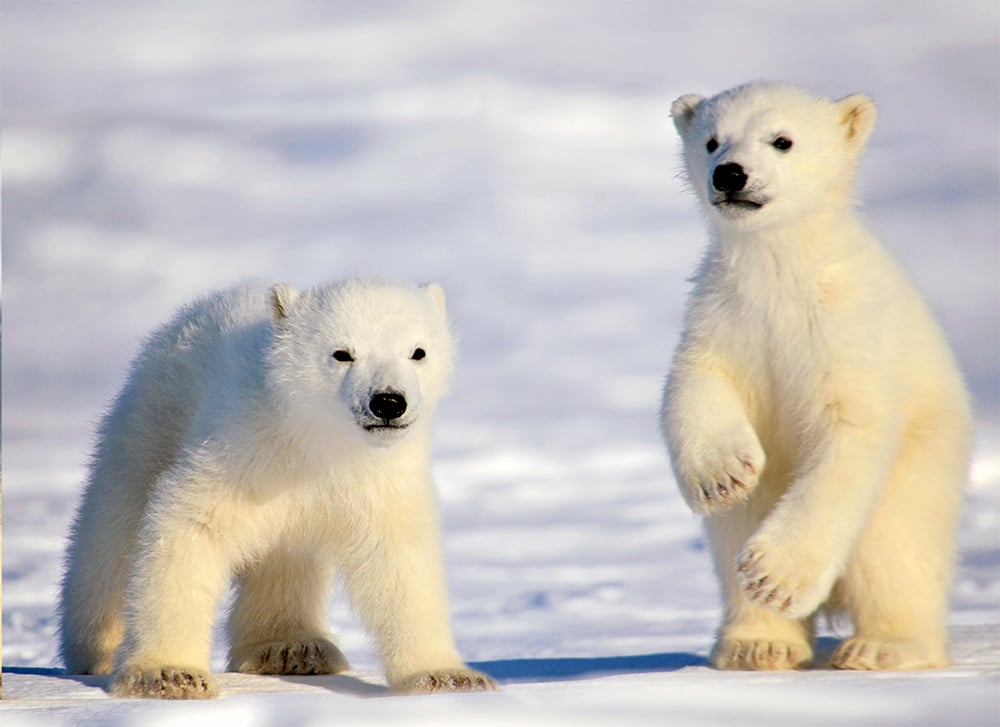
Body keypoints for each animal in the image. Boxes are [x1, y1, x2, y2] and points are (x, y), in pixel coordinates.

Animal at [58, 278, 497, 698]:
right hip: (152, 420)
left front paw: (448, 677)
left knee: (286, 560)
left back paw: (292, 647)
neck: (316, 441)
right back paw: (98, 647)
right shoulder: (241, 450)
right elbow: (191, 529)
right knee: (113, 526)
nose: (388, 401)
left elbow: (399, 561)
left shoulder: (378, 477)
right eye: (342, 353)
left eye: (418, 352)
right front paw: (168, 675)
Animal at [659, 82, 972, 671]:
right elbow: (697, 380)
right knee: (736, 531)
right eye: (711, 140)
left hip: (921, 465)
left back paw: (883, 646)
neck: (781, 266)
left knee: (897, 550)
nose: (730, 173)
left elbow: (848, 434)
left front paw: (773, 574)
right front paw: (723, 474)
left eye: (782, 140)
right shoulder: (725, 314)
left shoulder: (846, 328)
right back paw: (756, 644)